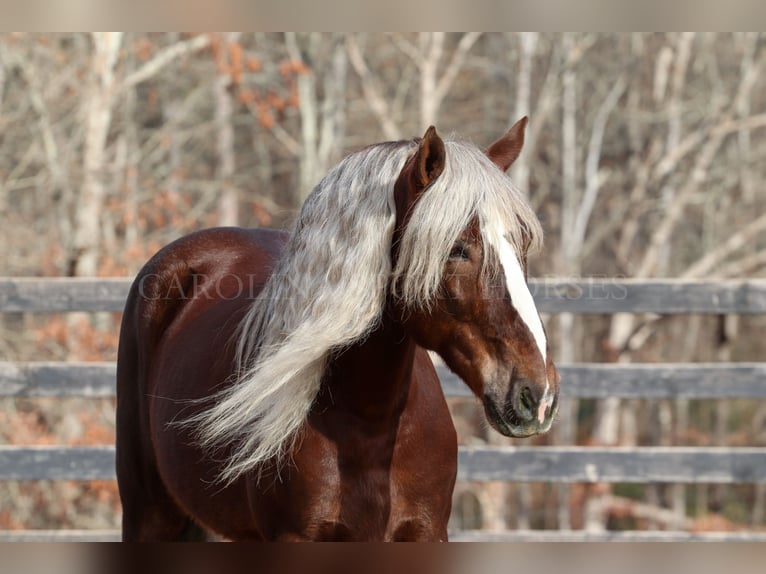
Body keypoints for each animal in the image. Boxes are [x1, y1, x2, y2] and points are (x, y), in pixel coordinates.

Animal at [115, 119, 560, 544]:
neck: (371, 424)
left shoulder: (427, 531)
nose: (536, 394)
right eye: (457, 249)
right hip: (150, 515)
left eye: (522, 245)